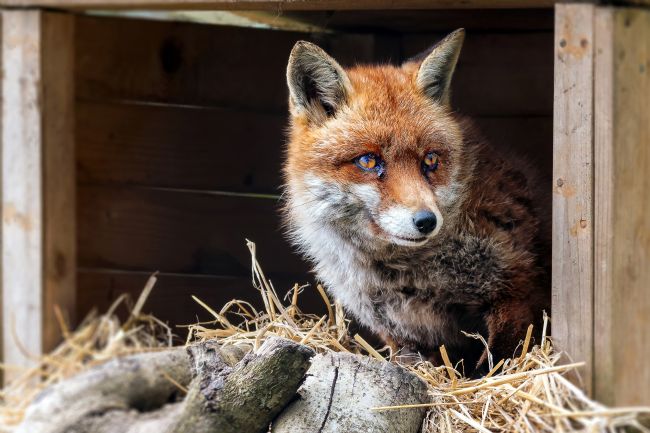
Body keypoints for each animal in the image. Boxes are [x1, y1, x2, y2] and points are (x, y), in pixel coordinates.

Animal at [282, 29, 551, 374]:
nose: (426, 221)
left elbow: (495, 361)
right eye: (368, 161)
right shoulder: (400, 332)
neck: (411, 276)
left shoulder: (515, 289)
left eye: (431, 160)